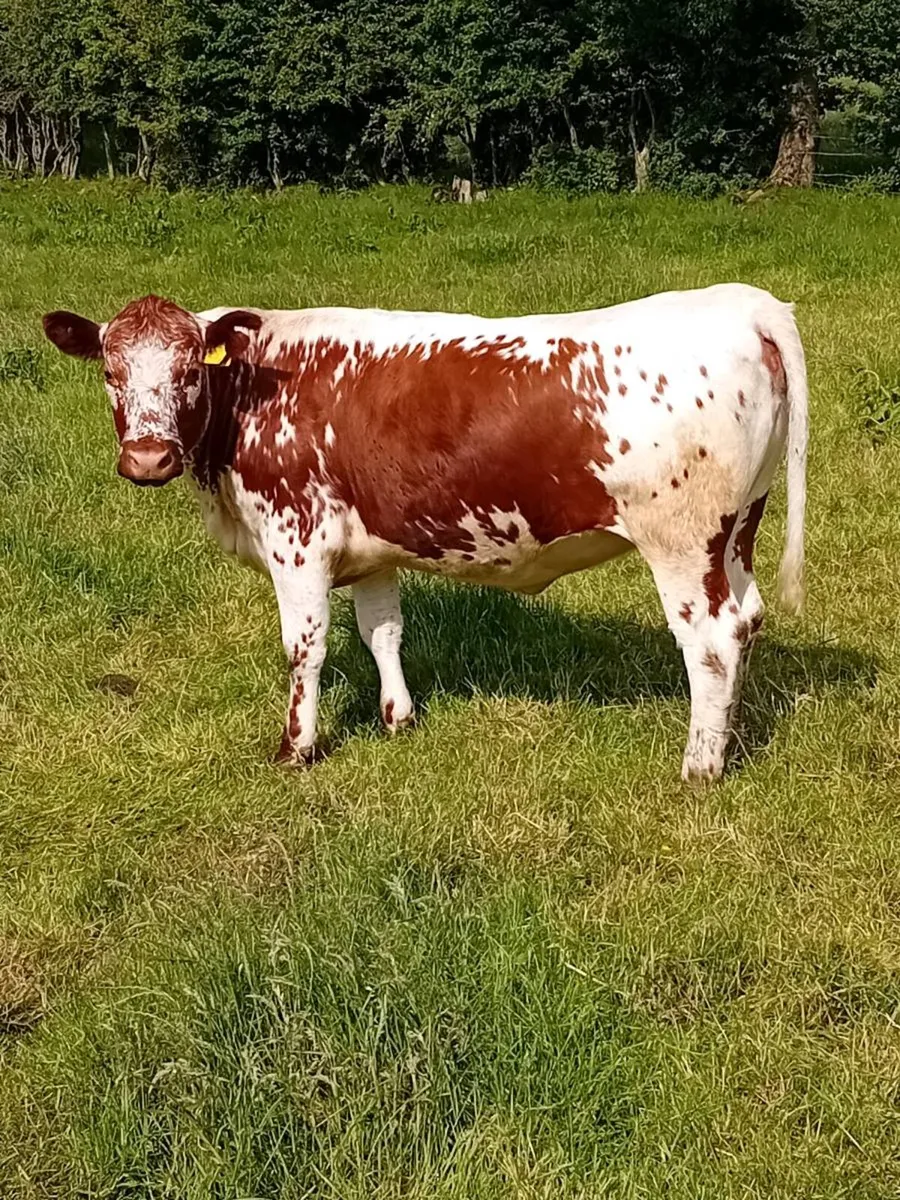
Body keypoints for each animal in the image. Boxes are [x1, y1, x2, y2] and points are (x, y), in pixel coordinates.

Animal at [42, 283, 807, 781]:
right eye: (110, 370)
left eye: (187, 372)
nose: (147, 458)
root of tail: (743, 302)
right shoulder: (371, 545)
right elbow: (382, 630)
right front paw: (398, 718)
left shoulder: (297, 540)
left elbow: (305, 650)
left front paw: (297, 749)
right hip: (739, 528)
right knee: (747, 621)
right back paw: (730, 739)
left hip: (683, 540)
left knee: (711, 643)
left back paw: (700, 765)